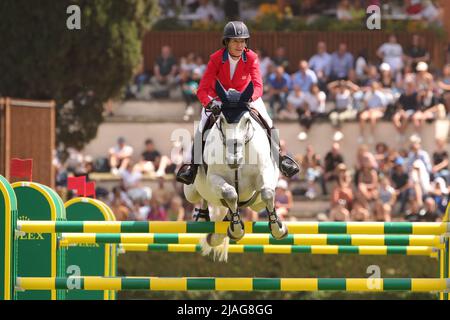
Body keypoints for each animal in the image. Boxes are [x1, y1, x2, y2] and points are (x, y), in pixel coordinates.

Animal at [184, 82, 286, 262]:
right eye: (222, 120)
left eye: (246, 120)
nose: (234, 160)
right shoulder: (215, 178)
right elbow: (230, 194)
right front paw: (237, 230)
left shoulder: (264, 173)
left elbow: (267, 193)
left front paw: (278, 228)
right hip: (191, 191)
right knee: (203, 197)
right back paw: (204, 216)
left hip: (256, 204)